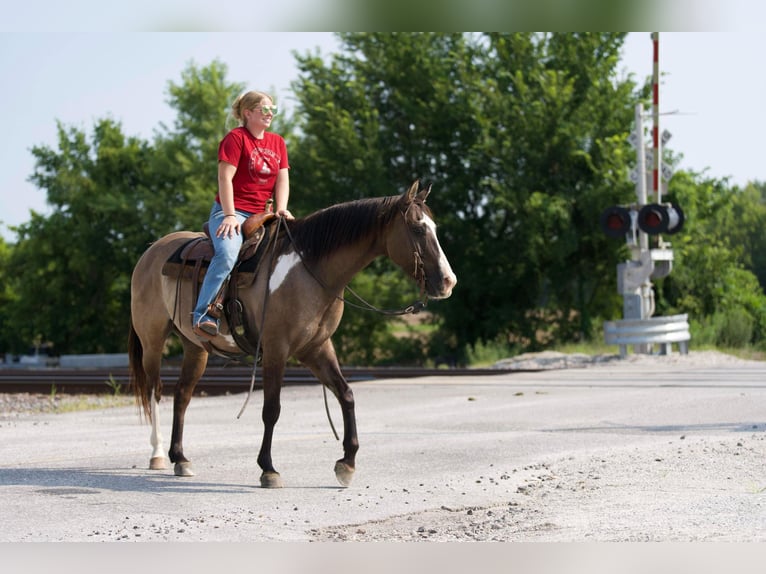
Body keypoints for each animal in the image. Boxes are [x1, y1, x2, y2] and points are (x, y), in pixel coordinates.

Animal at [129, 182, 460, 488]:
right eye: (417, 228)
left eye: (433, 228)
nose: (448, 282)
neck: (311, 270)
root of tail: (151, 251)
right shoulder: (276, 349)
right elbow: (271, 409)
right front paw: (268, 469)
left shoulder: (316, 348)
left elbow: (346, 395)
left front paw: (347, 464)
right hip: (153, 341)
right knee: (155, 391)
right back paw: (158, 455)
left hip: (195, 346)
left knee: (182, 395)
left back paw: (180, 458)